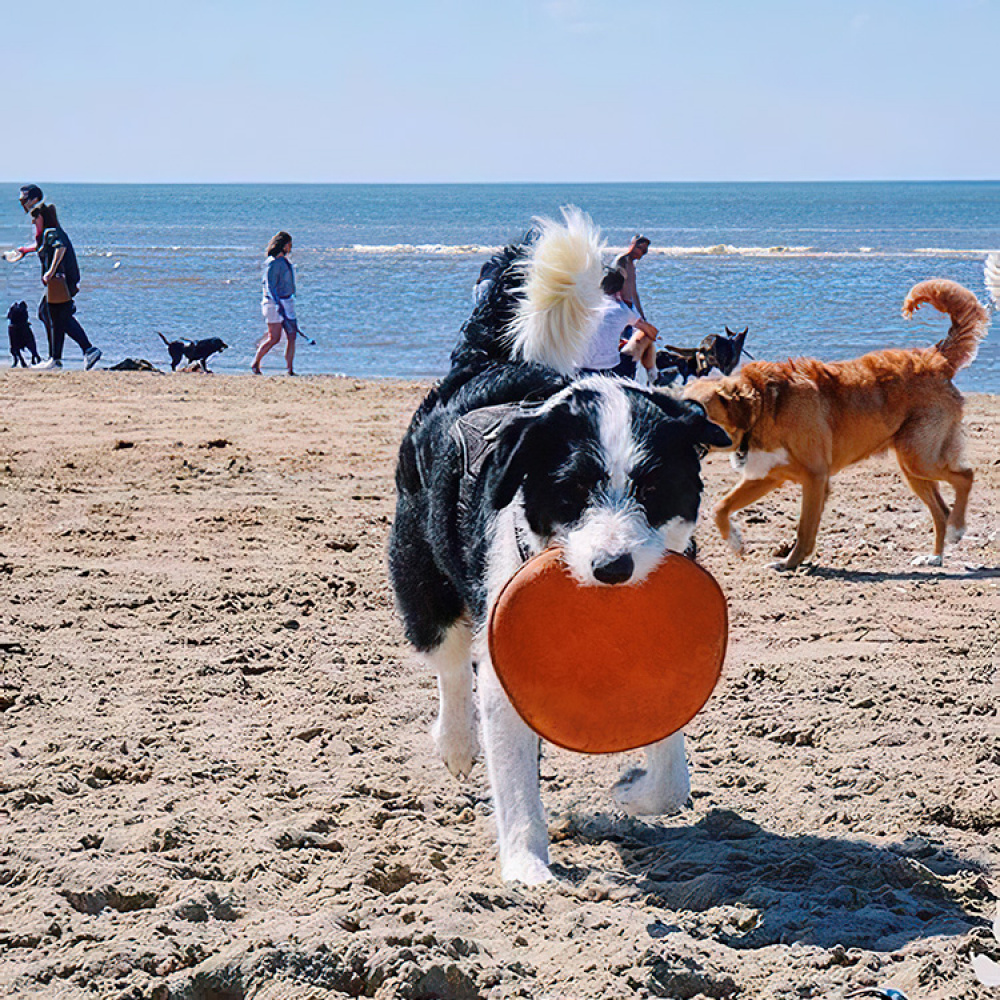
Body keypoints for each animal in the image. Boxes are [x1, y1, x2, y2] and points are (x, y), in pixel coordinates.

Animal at [388, 211, 728, 884]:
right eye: (571, 492)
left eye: (653, 489)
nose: (612, 568)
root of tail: (479, 366)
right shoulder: (502, 661)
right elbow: (515, 775)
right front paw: (527, 868)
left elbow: (672, 777)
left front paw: (630, 791)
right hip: (424, 575)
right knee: (447, 661)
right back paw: (456, 745)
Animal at [684, 280, 988, 572]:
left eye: (699, 413)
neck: (765, 405)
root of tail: (936, 357)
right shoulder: (766, 477)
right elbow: (720, 508)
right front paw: (735, 542)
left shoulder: (815, 478)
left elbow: (805, 530)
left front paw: (789, 563)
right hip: (913, 467)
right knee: (941, 511)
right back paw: (934, 557)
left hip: (920, 458)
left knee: (965, 477)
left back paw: (957, 528)